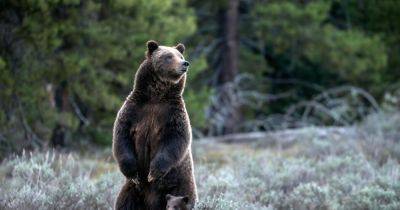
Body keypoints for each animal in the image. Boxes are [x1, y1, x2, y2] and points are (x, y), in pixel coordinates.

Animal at [112, 39, 197, 210]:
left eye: (180, 55)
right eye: (169, 56)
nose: (185, 63)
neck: (156, 96)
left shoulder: (173, 114)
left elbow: (176, 139)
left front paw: (153, 172)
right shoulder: (134, 110)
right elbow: (122, 136)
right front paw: (134, 173)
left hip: (179, 185)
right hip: (132, 191)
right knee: (125, 202)